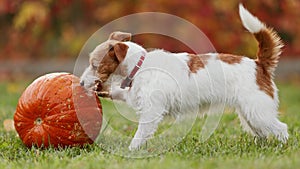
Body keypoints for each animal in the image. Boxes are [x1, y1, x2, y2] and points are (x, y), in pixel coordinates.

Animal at [79, 3, 288, 150]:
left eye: (94, 64)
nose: (81, 83)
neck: (140, 66)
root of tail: (259, 64)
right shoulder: (133, 95)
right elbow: (119, 93)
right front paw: (103, 91)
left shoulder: (151, 112)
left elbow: (139, 134)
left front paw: (131, 150)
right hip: (250, 114)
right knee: (263, 133)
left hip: (258, 111)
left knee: (281, 129)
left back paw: (281, 148)